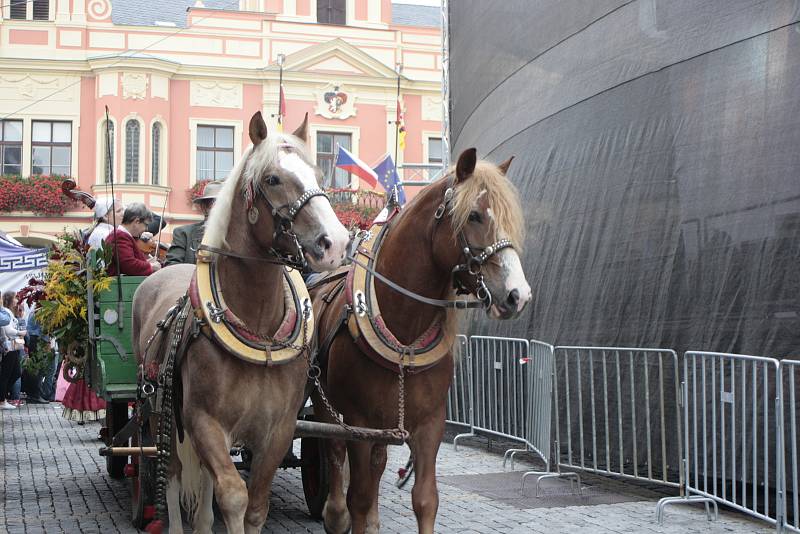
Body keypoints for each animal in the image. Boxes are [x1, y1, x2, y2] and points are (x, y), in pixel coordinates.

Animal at [133, 112, 348, 534]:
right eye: (273, 179)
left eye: (319, 172)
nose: (336, 242)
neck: (258, 330)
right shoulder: (204, 421)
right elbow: (232, 495)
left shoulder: (278, 430)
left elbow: (256, 505)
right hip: (159, 414)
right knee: (173, 474)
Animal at [310, 149, 532, 534]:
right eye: (474, 215)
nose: (518, 295)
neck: (405, 336)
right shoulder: (358, 421)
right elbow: (358, 496)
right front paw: (349, 514)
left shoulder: (430, 423)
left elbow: (425, 499)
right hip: (328, 407)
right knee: (335, 457)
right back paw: (335, 513)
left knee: (378, 463)